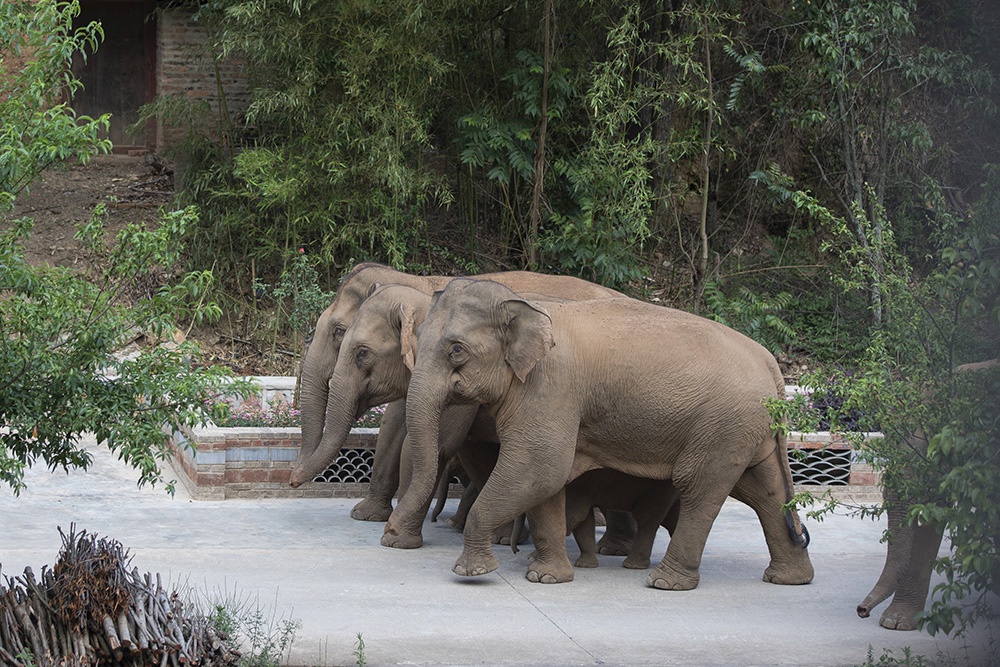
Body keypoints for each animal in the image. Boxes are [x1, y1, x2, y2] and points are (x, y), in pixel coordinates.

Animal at [292, 264, 624, 524]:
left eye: (344, 336)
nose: (294, 481)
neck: (418, 286)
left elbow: (424, 437)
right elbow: (394, 425)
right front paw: (367, 515)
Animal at [384, 280, 812, 592]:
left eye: (456, 350)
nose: (389, 537)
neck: (529, 306)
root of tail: (773, 367)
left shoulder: (550, 389)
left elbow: (539, 467)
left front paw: (472, 572)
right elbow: (548, 481)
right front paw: (546, 578)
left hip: (723, 425)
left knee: (699, 488)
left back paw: (665, 583)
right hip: (746, 429)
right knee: (765, 491)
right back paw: (789, 579)